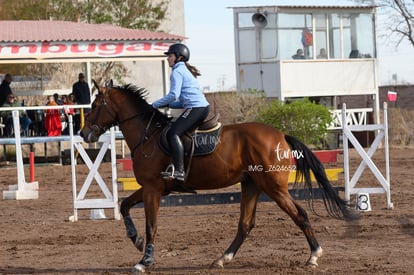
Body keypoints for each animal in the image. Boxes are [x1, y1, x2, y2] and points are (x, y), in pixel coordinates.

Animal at [81, 81, 360, 274]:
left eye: (94, 106)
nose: (84, 134)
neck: (147, 135)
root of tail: (281, 135)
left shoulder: (152, 189)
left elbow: (152, 225)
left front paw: (145, 260)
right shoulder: (154, 188)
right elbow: (124, 205)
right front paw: (136, 240)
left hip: (274, 188)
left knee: (299, 215)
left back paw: (313, 255)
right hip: (251, 185)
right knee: (245, 225)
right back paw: (222, 258)